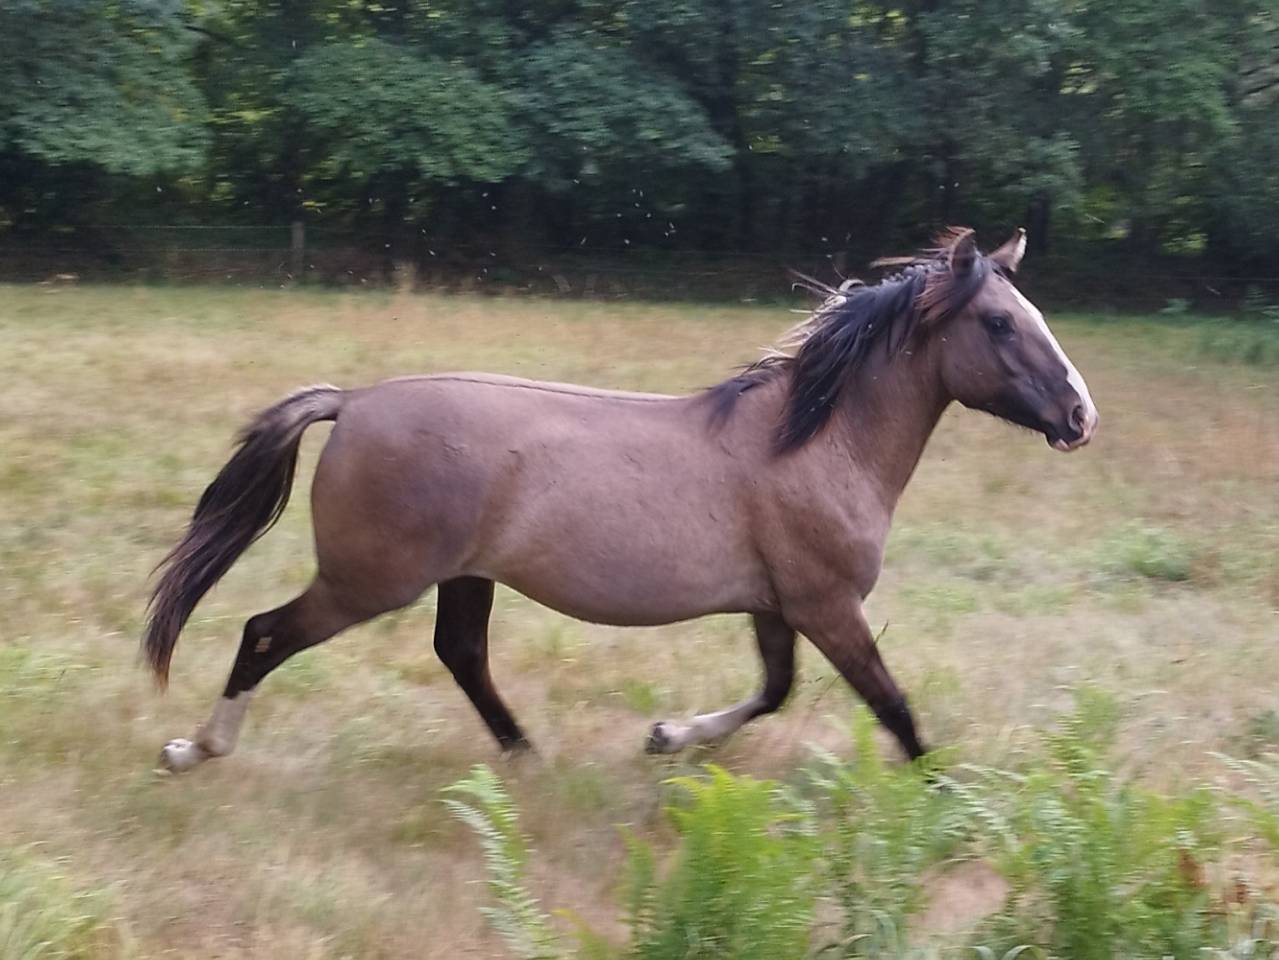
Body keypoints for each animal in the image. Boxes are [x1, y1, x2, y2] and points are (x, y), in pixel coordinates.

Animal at [144, 227, 1097, 773]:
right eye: (1000, 323)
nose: (1081, 417)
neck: (813, 444)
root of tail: (354, 401)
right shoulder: (826, 605)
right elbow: (892, 709)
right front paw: (940, 798)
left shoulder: (777, 605)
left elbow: (775, 691)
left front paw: (666, 738)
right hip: (367, 581)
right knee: (264, 634)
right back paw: (196, 748)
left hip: (463, 575)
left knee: (461, 655)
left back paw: (526, 756)